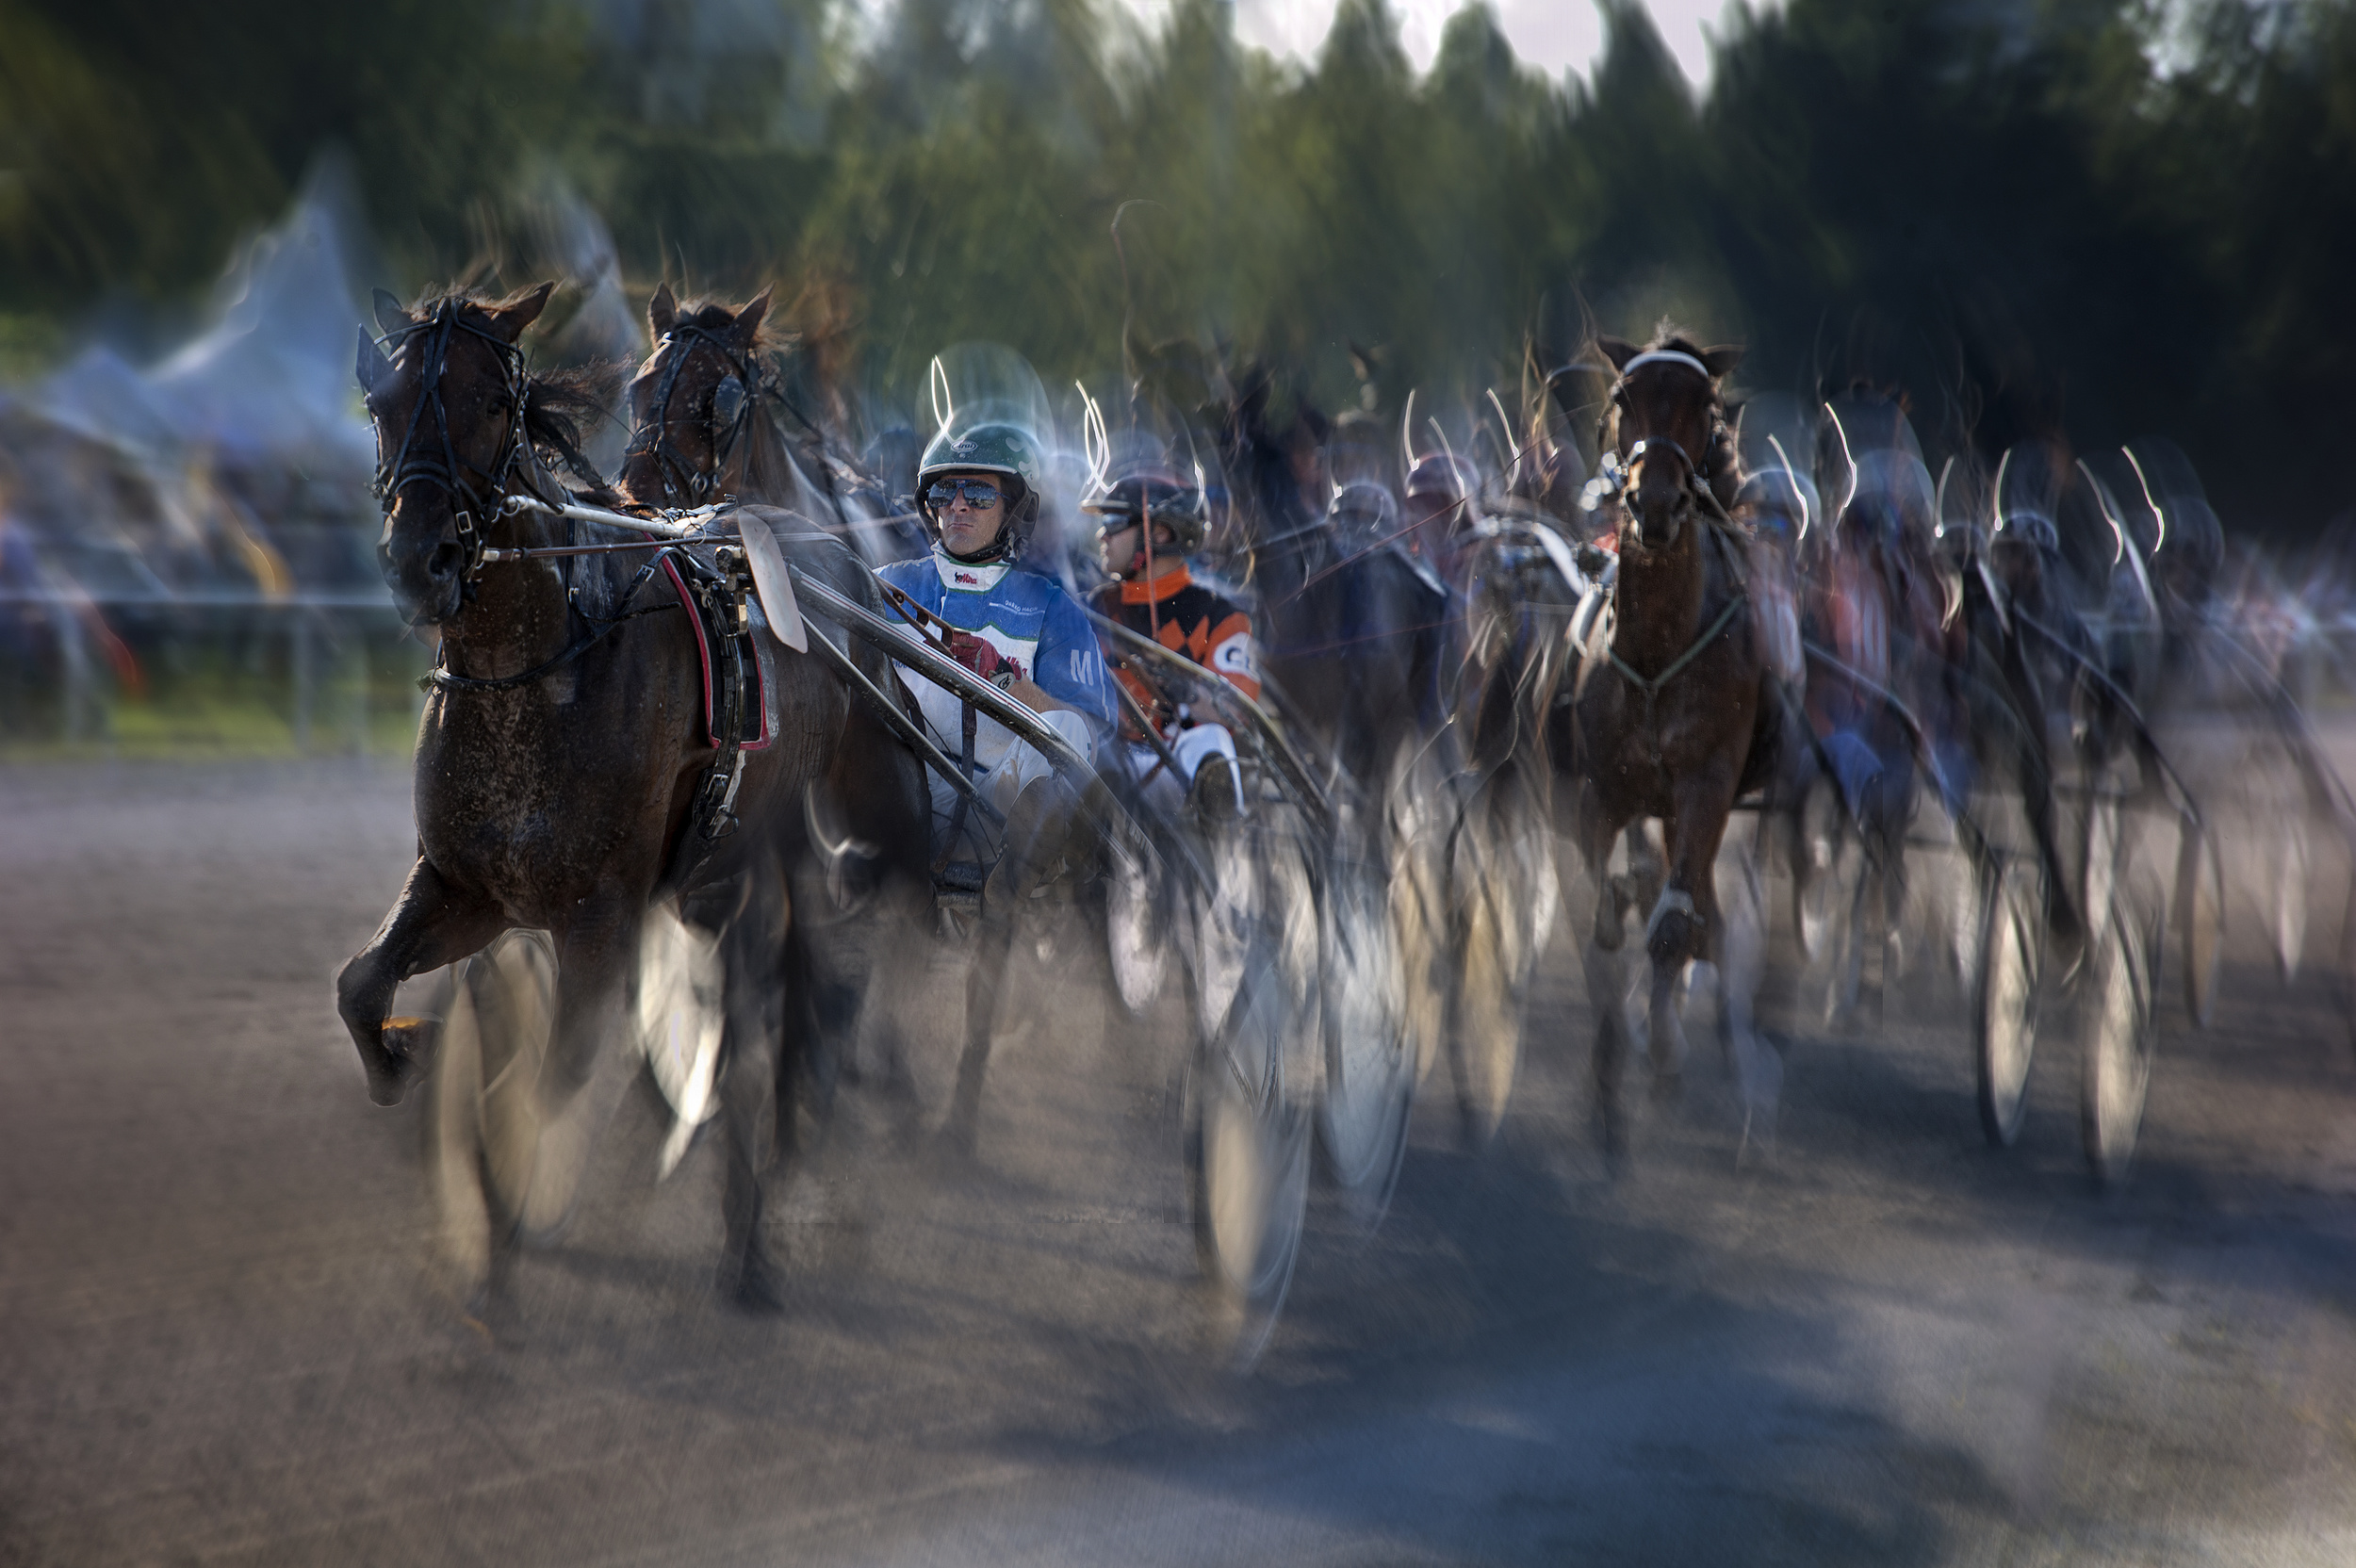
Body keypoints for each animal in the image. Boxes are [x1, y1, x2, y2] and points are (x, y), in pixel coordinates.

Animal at [334, 284, 927, 1311]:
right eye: (382, 401)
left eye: (492, 401)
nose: (420, 559)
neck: (543, 663)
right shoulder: (468, 886)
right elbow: (362, 983)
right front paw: (406, 1054)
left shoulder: (597, 915)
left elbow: (559, 1073)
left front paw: (519, 1200)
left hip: (834, 815)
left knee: (825, 960)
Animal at [1557, 331, 1782, 1165]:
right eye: (1625, 398)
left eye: (1705, 406)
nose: (1653, 504)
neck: (1656, 650)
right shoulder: (1601, 794)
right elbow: (1603, 920)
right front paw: (1605, 1089)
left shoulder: (1707, 783)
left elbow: (1673, 928)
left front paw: (1661, 1053)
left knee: (1697, 915)